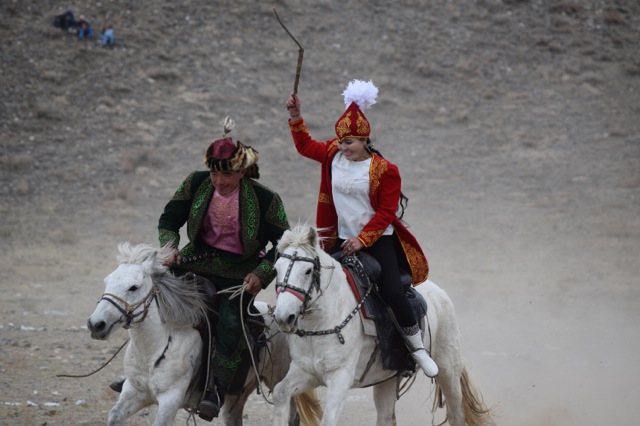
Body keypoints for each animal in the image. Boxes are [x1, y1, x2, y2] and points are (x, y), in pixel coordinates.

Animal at [87, 243, 322, 426]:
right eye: (107, 281)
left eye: (133, 287)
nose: (96, 324)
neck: (154, 348)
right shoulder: (132, 392)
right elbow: (114, 415)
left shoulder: (170, 400)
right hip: (236, 396)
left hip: (279, 380)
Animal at [270, 226, 496, 426]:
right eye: (276, 269)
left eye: (308, 270)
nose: (284, 317)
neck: (321, 322)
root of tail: (440, 294)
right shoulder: (306, 371)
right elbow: (280, 392)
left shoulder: (340, 377)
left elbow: (329, 419)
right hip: (386, 378)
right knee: (386, 418)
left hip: (448, 370)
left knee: (456, 413)